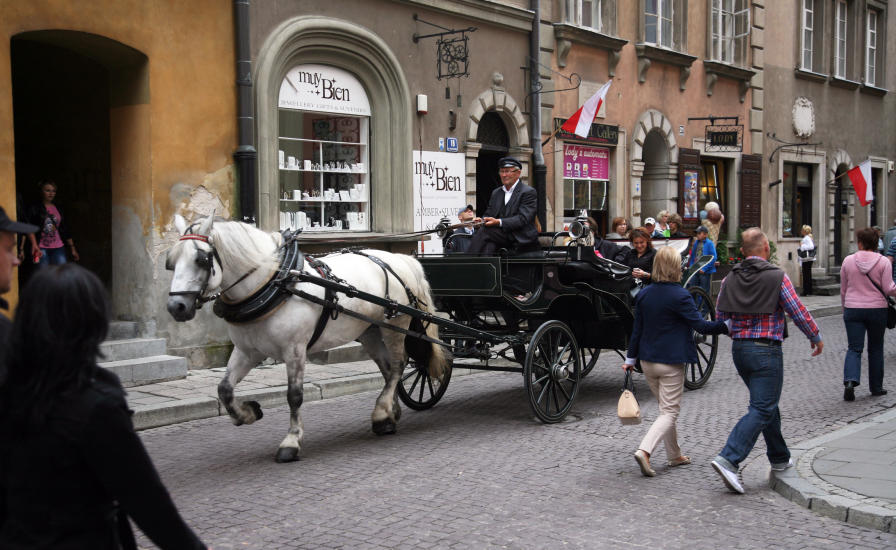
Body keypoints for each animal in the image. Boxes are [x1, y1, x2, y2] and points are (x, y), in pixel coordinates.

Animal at [165, 213, 449, 462]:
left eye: (202, 259)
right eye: (171, 261)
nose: (176, 307)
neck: (274, 283)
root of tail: (399, 260)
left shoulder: (295, 349)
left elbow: (294, 395)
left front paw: (291, 442)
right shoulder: (247, 351)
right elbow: (224, 389)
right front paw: (248, 413)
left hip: (394, 326)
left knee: (399, 366)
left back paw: (381, 414)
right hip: (369, 331)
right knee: (389, 370)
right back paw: (390, 413)